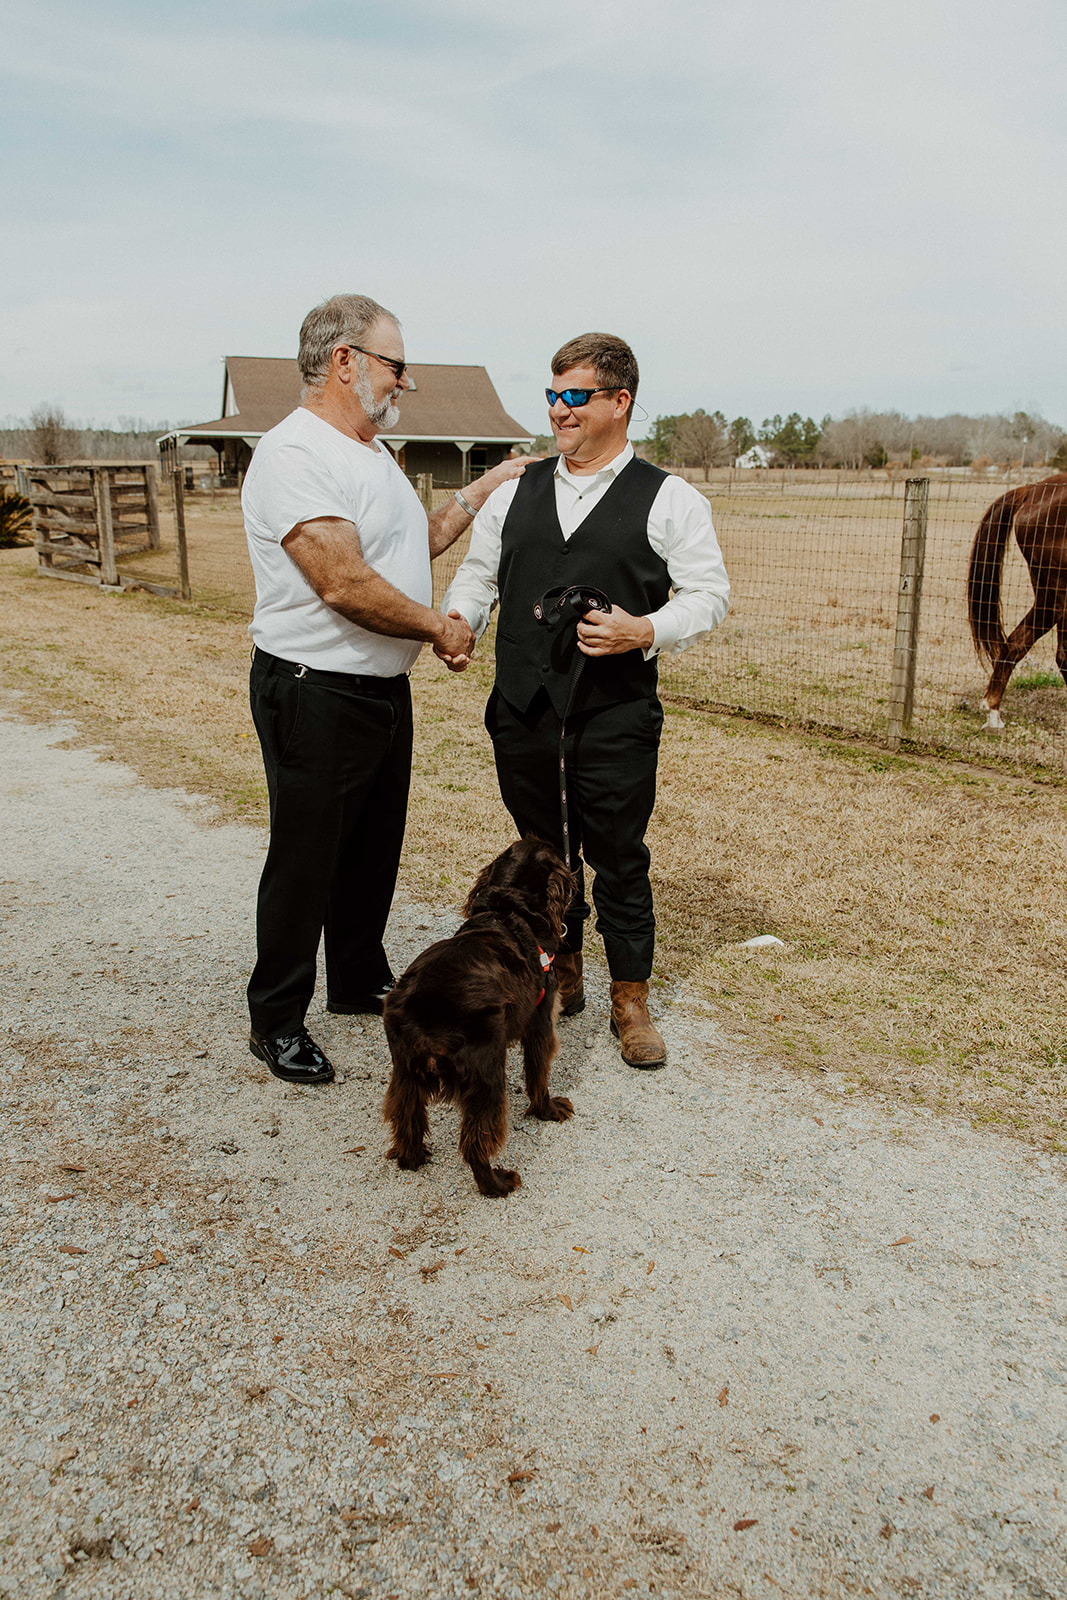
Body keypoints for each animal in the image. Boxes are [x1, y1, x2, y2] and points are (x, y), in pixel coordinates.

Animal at [383, 844, 575, 1196]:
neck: (510, 909)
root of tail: (424, 1016)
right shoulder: (541, 1023)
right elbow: (538, 1075)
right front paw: (548, 1111)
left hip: (405, 1074)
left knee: (406, 1121)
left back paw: (414, 1157)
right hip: (486, 1077)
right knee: (474, 1142)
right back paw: (496, 1183)